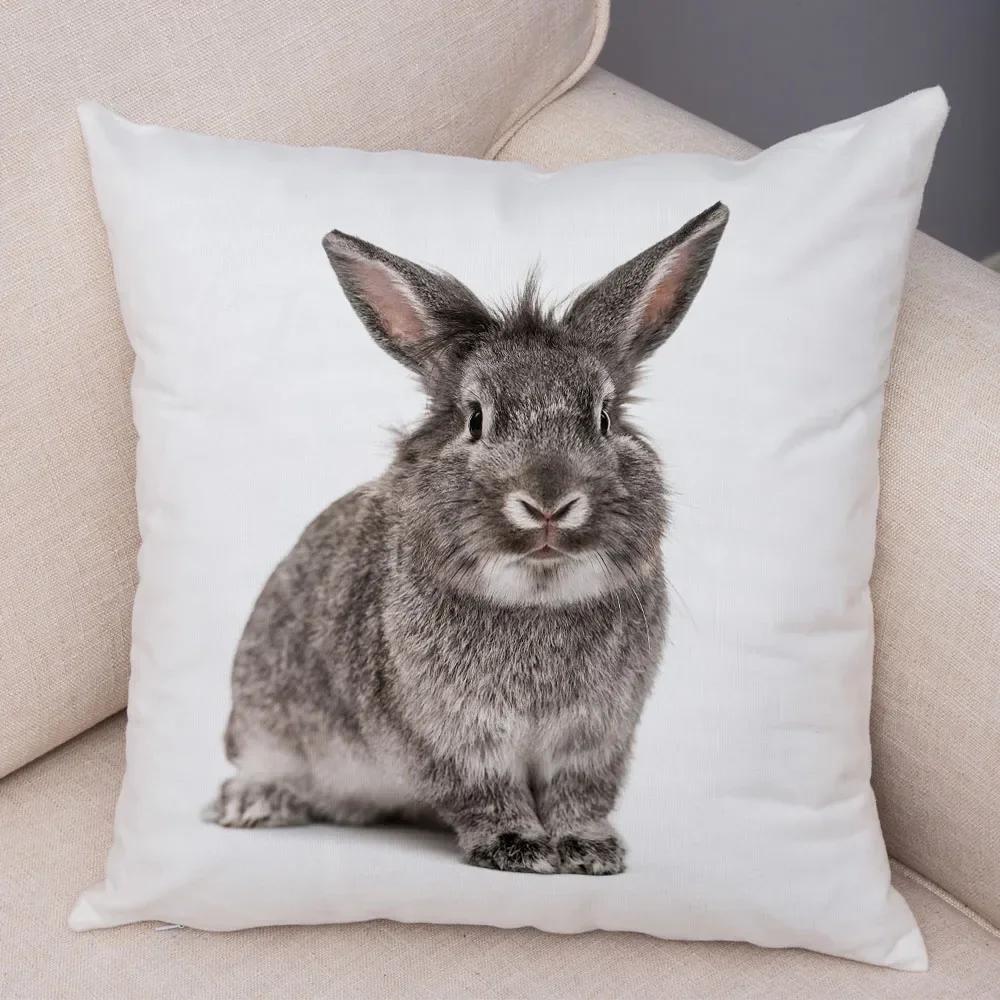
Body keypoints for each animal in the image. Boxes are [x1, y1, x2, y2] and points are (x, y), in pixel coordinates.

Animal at [204, 202, 729, 875]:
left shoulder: (596, 738)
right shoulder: (454, 739)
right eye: (475, 419)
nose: (549, 503)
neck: (536, 599)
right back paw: (254, 803)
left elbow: (580, 795)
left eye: (604, 417)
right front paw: (516, 847)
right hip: (263, 717)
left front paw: (589, 850)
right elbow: (487, 793)